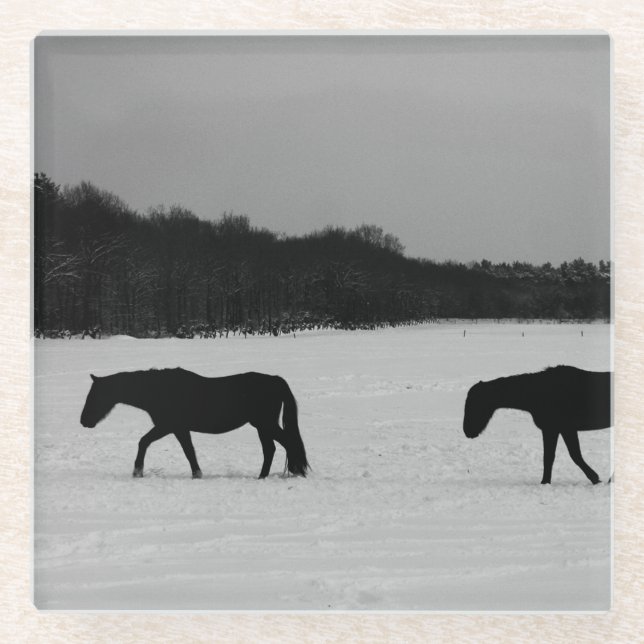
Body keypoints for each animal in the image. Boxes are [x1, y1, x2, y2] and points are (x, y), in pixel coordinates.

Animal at [80, 368, 309, 480]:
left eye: (95, 395)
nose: (84, 421)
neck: (159, 389)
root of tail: (275, 379)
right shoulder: (179, 429)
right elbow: (189, 451)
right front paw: (197, 474)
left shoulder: (168, 426)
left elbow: (144, 442)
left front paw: (137, 471)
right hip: (262, 426)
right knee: (271, 449)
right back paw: (262, 477)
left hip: (265, 424)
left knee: (286, 444)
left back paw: (294, 472)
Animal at [463, 365, 612, 484]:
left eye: (474, 404)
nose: (467, 431)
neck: (540, 393)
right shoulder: (557, 429)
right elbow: (555, 457)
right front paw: (546, 482)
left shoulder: (558, 429)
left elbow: (568, 456)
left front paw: (594, 478)